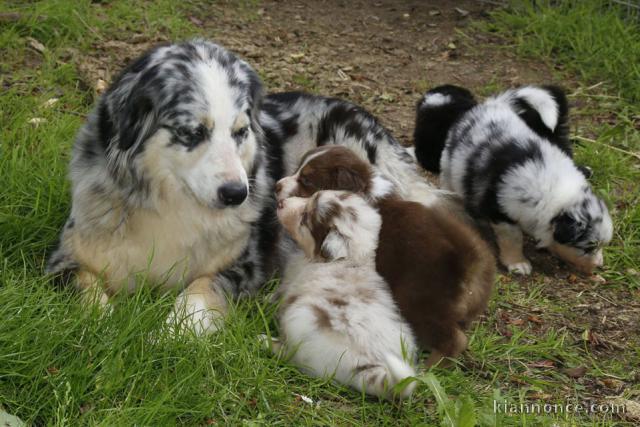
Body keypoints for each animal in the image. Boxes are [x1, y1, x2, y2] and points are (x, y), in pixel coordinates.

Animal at [47, 38, 450, 336]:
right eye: (192, 132)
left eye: (240, 131)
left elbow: (198, 292)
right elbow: (88, 293)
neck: (172, 205)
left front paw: (170, 335)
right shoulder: (64, 259)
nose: (236, 194)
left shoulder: (246, 264)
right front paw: (104, 327)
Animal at [274, 192, 416, 400]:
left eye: (305, 218)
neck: (350, 259)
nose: (280, 202)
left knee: (292, 357)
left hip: (299, 322)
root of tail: (367, 365)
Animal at [276, 145, 496, 366]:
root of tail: (471, 261)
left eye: (306, 180)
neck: (366, 189)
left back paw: (430, 366)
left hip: (420, 301)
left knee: (453, 339)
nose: (277, 186)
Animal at [412, 85, 612, 276]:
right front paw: (517, 263)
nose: (600, 265)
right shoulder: (501, 210)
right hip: (450, 166)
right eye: (588, 248)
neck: (551, 187)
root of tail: (490, 105)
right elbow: (513, 239)